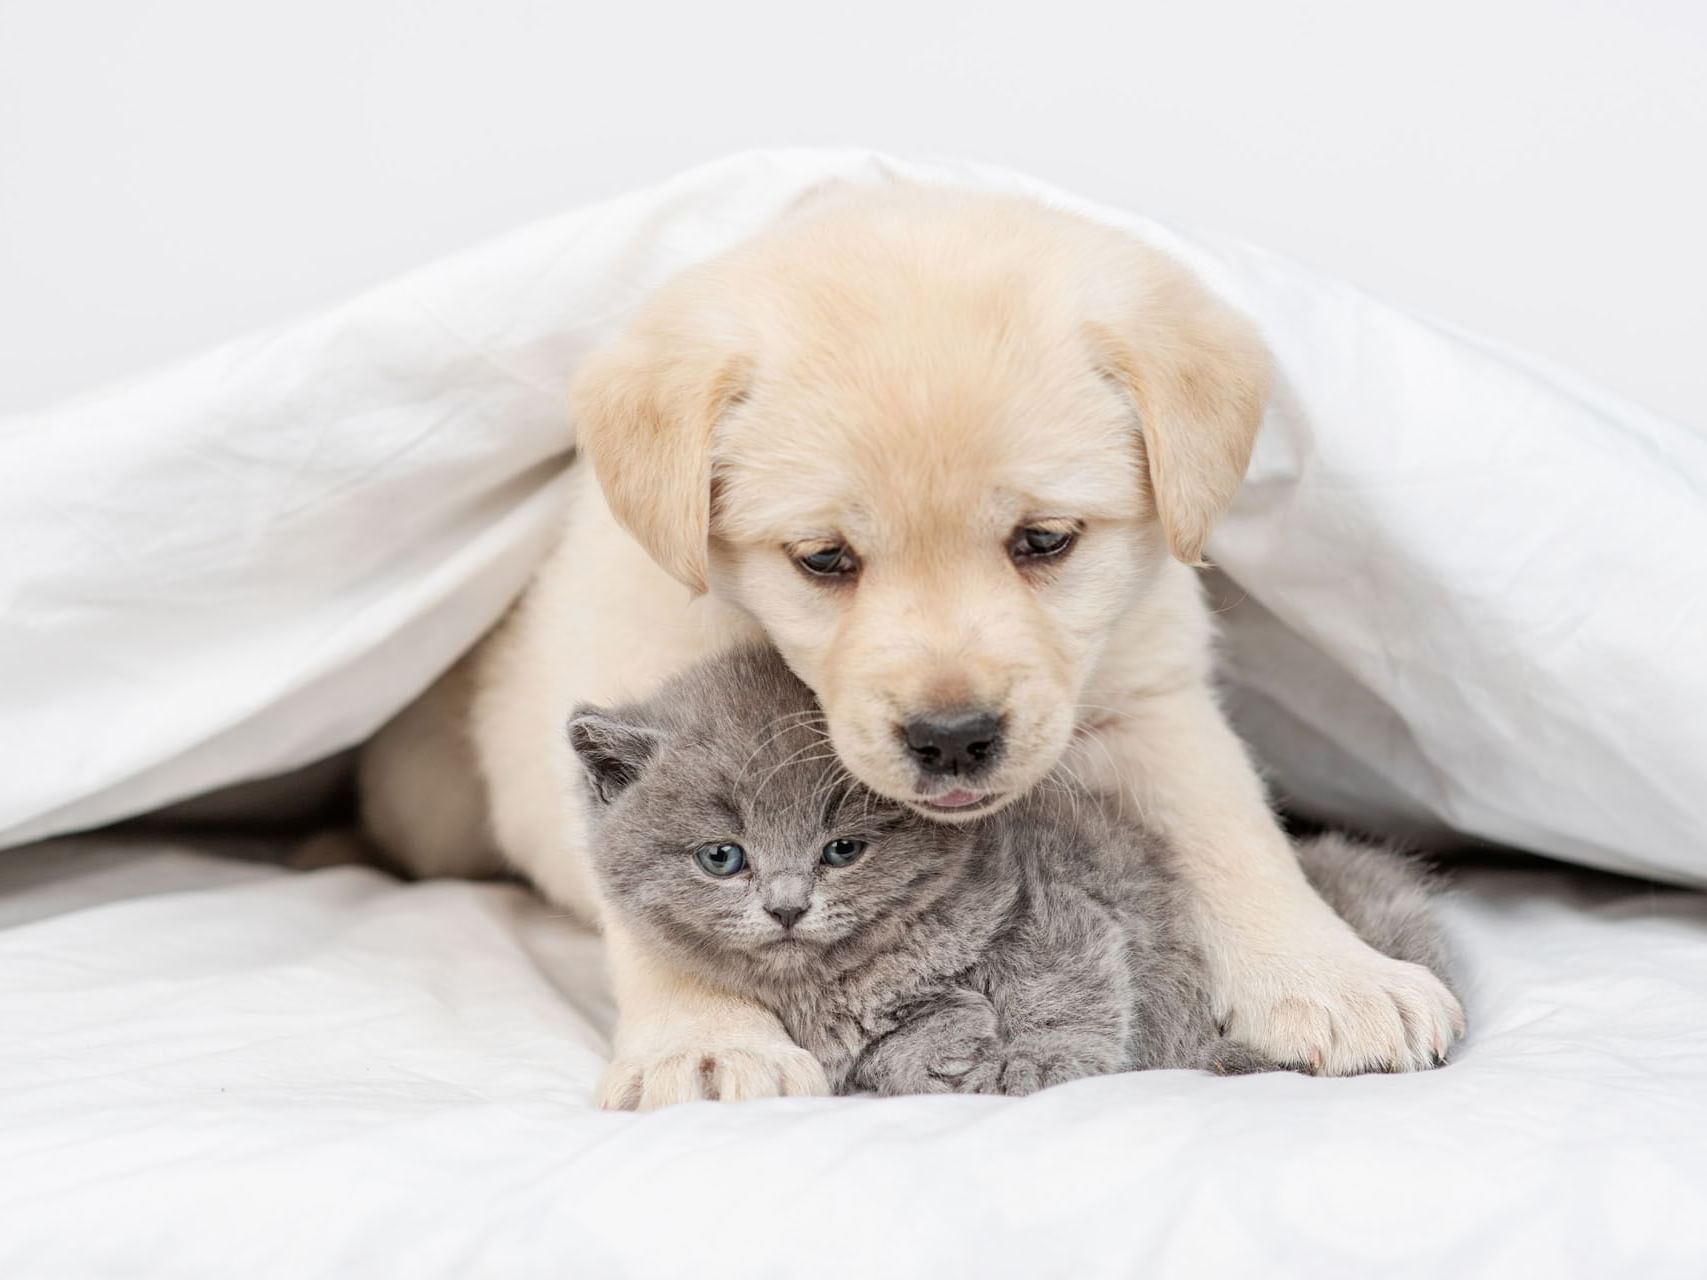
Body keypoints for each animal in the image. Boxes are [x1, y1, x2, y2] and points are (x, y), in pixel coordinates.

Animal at [566, 645, 1447, 1099]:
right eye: (722, 858)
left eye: (842, 850)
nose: (786, 907)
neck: (838, 980)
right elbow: (892, 1051)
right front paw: (949, 1052)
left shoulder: (1056, 905)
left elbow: (1060, 993)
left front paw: (1027, 1068)